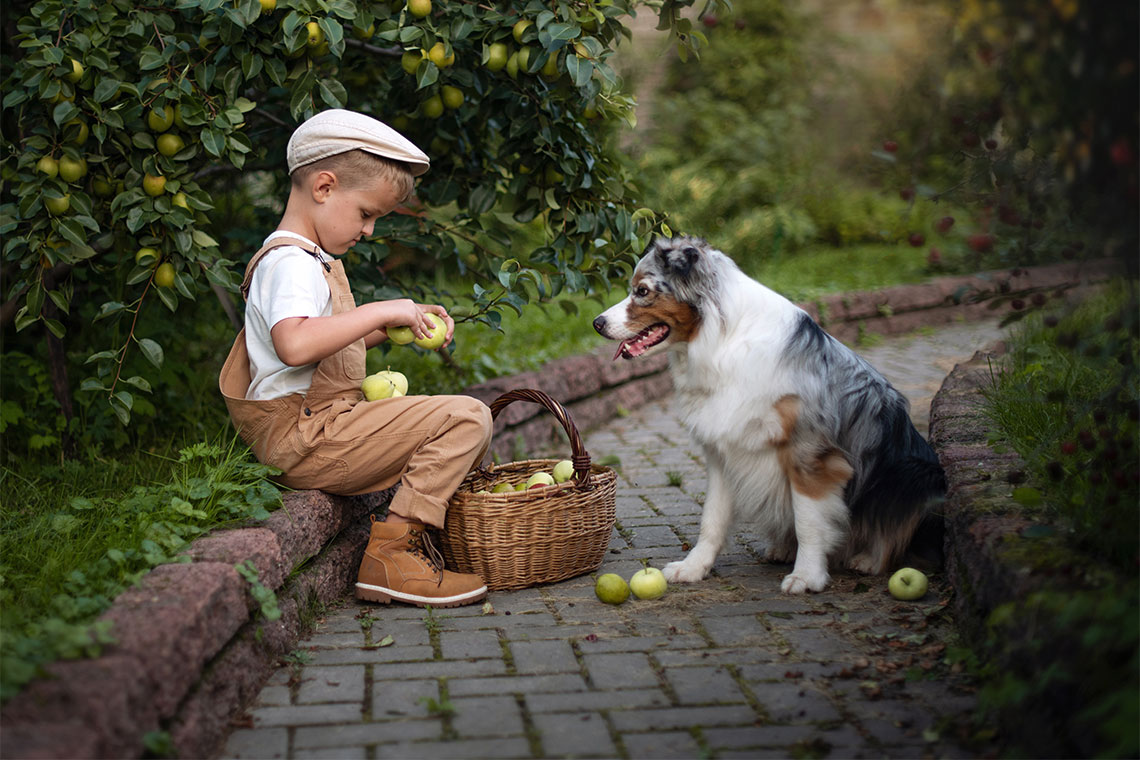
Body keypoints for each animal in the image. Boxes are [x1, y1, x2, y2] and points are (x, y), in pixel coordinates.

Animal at [597, 238, 943, 592]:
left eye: (642, 290)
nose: (597, 323)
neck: (723, 340)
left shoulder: (809, 453)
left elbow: (808, 522)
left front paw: (807, 576)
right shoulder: (724, 451)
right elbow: (712, 519)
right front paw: (694, 567)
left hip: (916, 474)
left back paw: (869, 559)